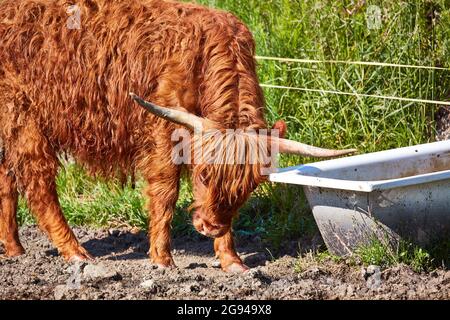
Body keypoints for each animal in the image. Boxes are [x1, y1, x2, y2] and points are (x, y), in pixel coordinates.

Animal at [0, 0, 356, 272]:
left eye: (248, 189)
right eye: (203, 174)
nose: (209, 226)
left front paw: (231, 260)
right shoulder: (163, 133)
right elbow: (165, 193)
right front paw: (162, 259)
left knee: (7, 180)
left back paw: (15, 249)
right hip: (22, 116)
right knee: (38, 184)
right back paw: (76, 253)